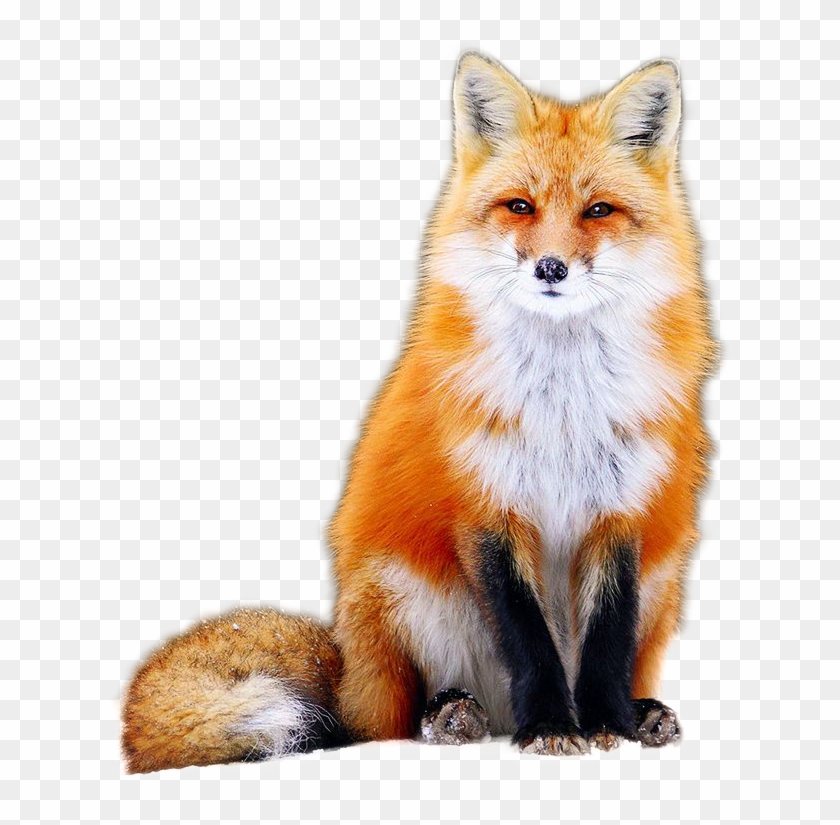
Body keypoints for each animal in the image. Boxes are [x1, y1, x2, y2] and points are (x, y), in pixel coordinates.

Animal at [122, 53, 715, 772]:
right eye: (520, 206)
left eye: (599, 210)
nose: (551, 267)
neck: (562, 408)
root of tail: (346, 667)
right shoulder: (486, 507)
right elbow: (529, 641)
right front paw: (550, 725)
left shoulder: (622, 510)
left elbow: (606, 640)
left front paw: (606, 725)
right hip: (401, 594)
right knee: (388, 722)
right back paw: (451, 715)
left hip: (664, 580)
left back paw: (643, 712)